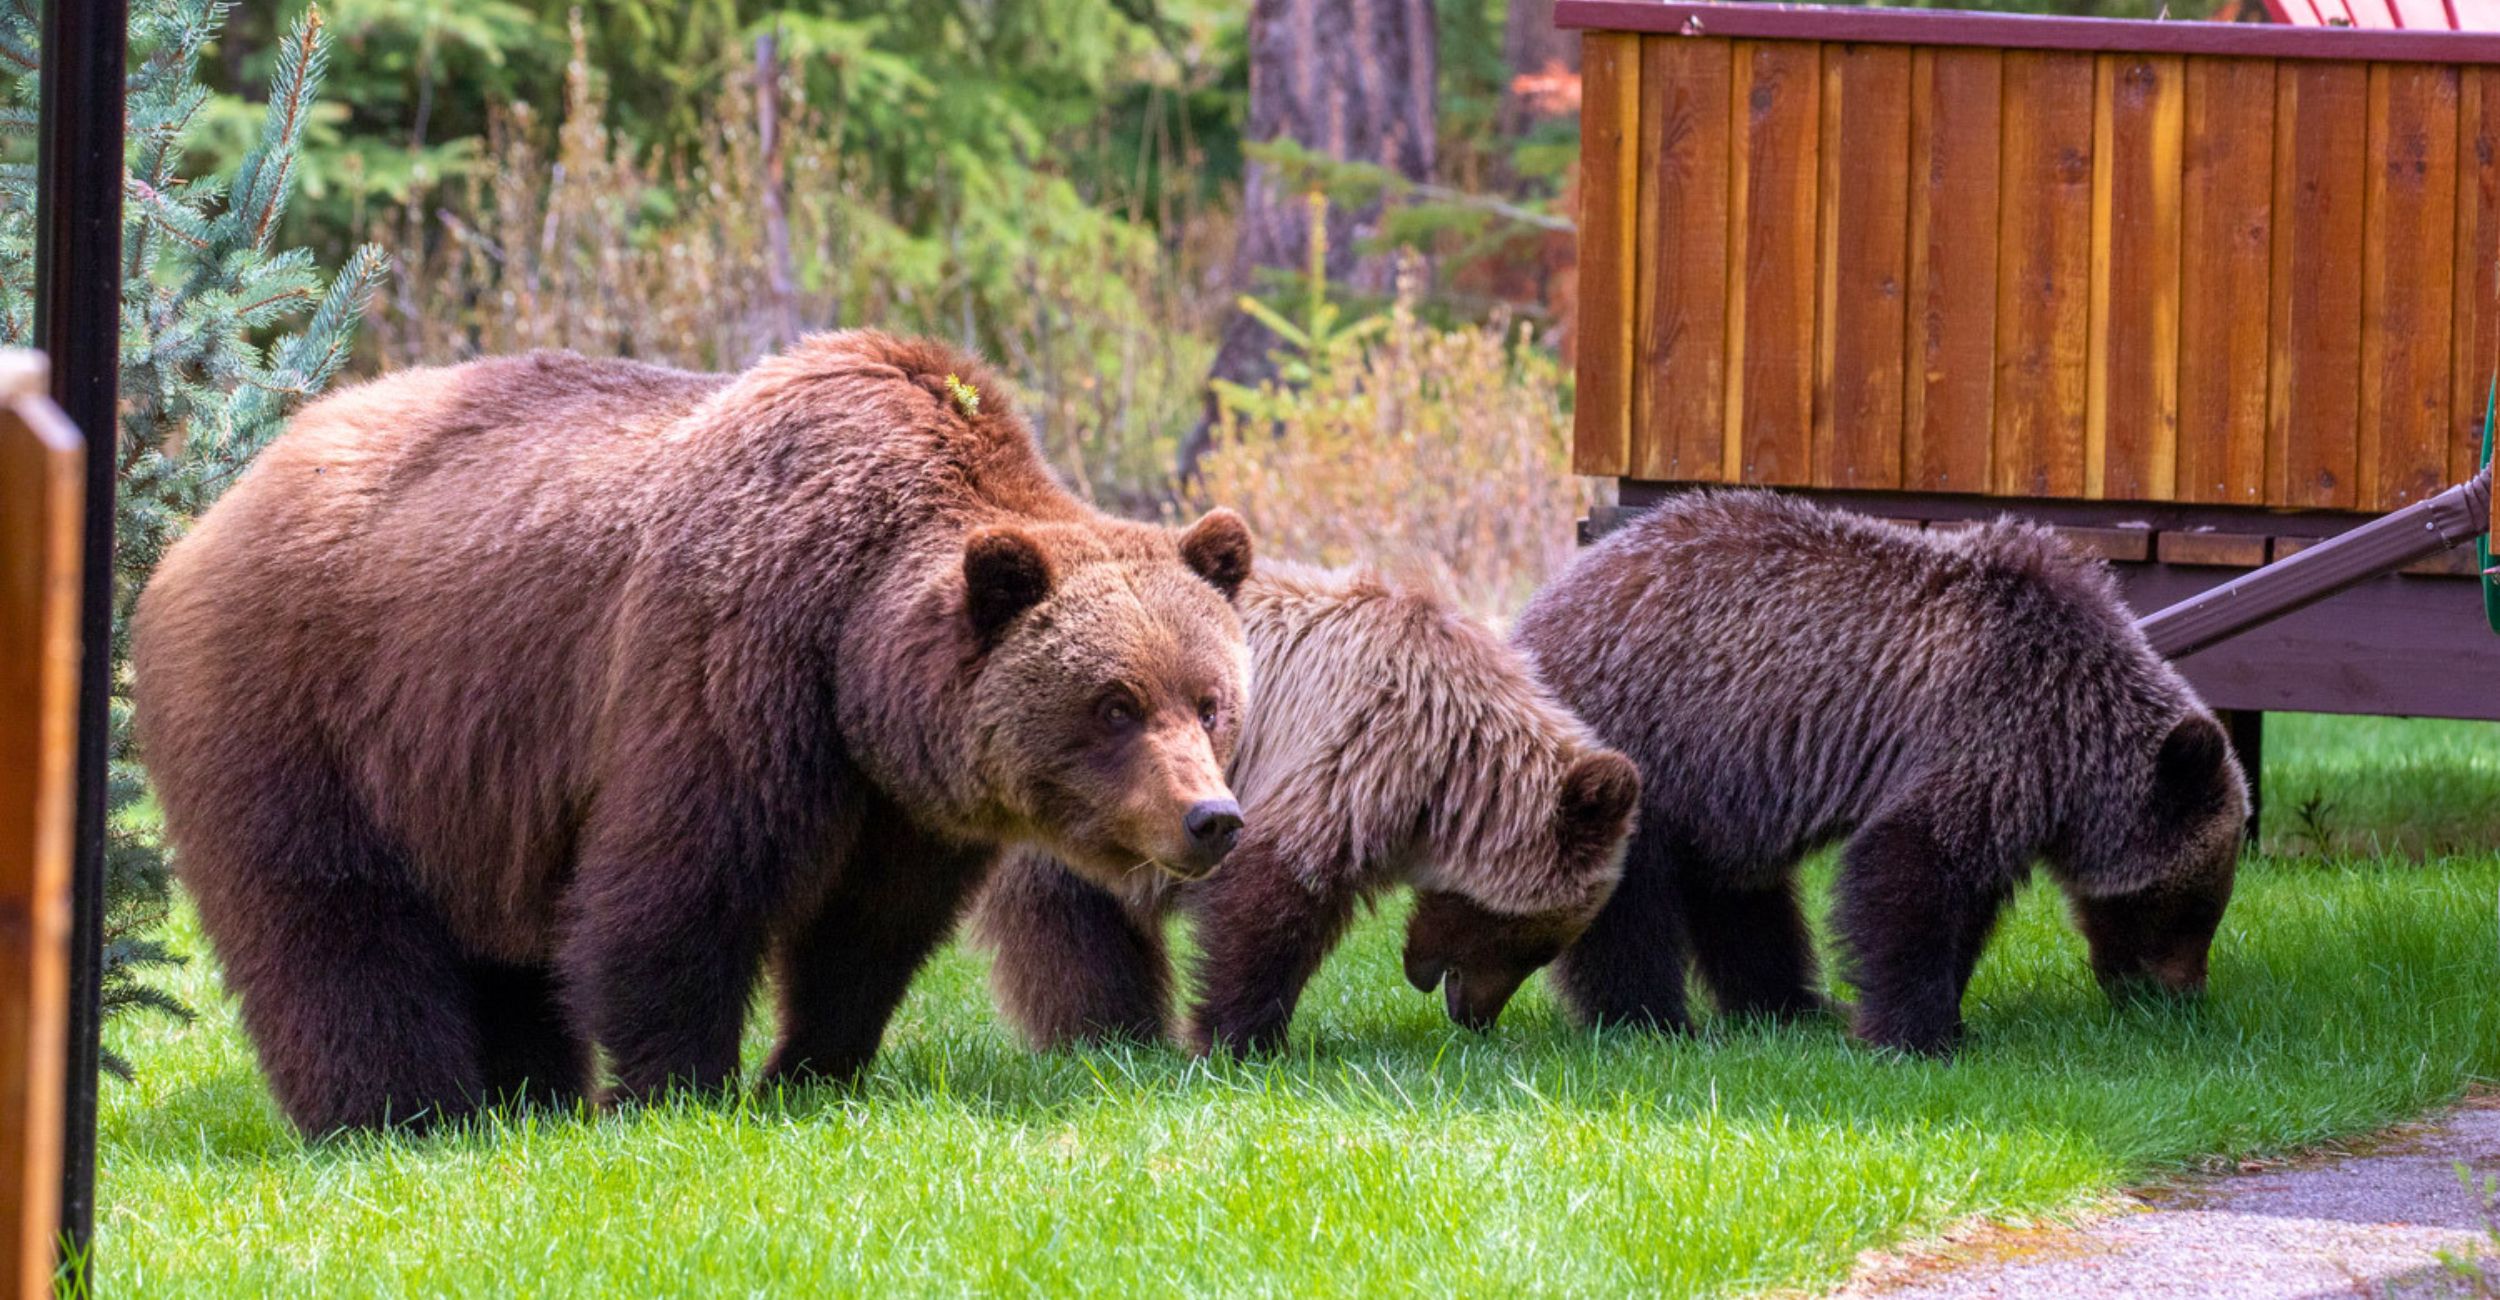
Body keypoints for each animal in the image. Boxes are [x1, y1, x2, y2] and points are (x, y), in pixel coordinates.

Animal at [130, 332, 1256, 1134]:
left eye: (1209, 700)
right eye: (1114, 704)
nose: (1210, 817)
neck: (856, 652)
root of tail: (212, 510)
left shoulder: (897, 803)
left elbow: (867, 934)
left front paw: (812, 1070)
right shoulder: (731, 663)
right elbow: (676, 892)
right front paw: (680, 1090)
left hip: (465, 773)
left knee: (496, 943)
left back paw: (526, 1098)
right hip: (302, 705)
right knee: (331, 921)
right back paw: (404, 1114)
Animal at [970, 561, 1640, 1055]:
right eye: (1532, 940)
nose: (1473, 1014)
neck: (1443, 762)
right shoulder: (1341, 752)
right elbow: (1268, 902)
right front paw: (1239, 1037)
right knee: (1069, 923)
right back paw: (1103, 1031)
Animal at [1511, 490, 2248, 1057]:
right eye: (2190, 907)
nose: (2180, 998)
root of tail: (1530, 616)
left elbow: (1965, 901)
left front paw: (1940, 1009)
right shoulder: (1988, 734)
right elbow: (1907, 872)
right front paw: (1917, 1032)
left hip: (1717, 787)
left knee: (1742, 900)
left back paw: (1789, 1004)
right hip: (1638, 743)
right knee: (1630, 904)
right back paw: (1648, 1020)